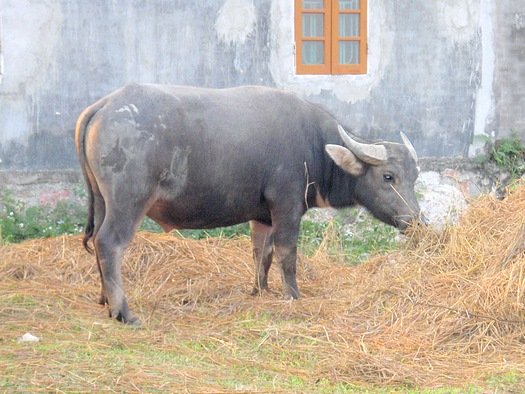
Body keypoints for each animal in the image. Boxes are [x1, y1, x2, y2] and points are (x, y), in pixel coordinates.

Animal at [74, 82, 422, 324]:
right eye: (388, 176)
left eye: (415, 176)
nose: (415, 221)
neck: (314, 145)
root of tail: (104, 106)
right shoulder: (286, 206)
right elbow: (287, 253)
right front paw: (292, 294)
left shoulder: (263, 216)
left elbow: (261, 253)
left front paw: (260, 290)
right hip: (128, 202)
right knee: (109, 243)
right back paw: (124, 311)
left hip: (102, 201)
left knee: (98, 242)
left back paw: (105, 300)